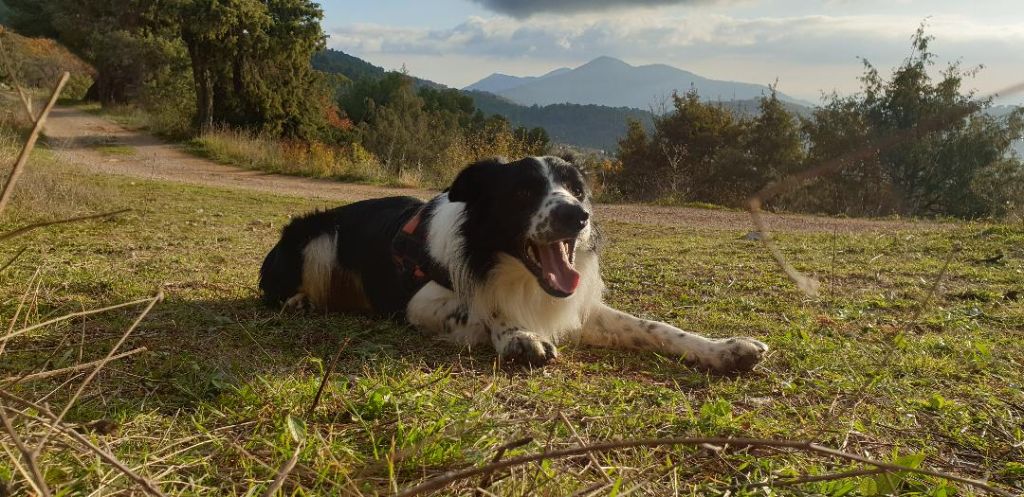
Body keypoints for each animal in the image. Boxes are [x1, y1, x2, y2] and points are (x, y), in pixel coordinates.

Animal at [258, 156, 770, 370]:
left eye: (578, 190)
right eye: (523, 193)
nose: (577, 216)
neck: (506, 267)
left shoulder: (575, 305)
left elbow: (653, 327)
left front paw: (724, 349)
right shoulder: (420, 303)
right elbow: (484, 308)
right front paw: (518, 336)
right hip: (317, 236)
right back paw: (299, 302)